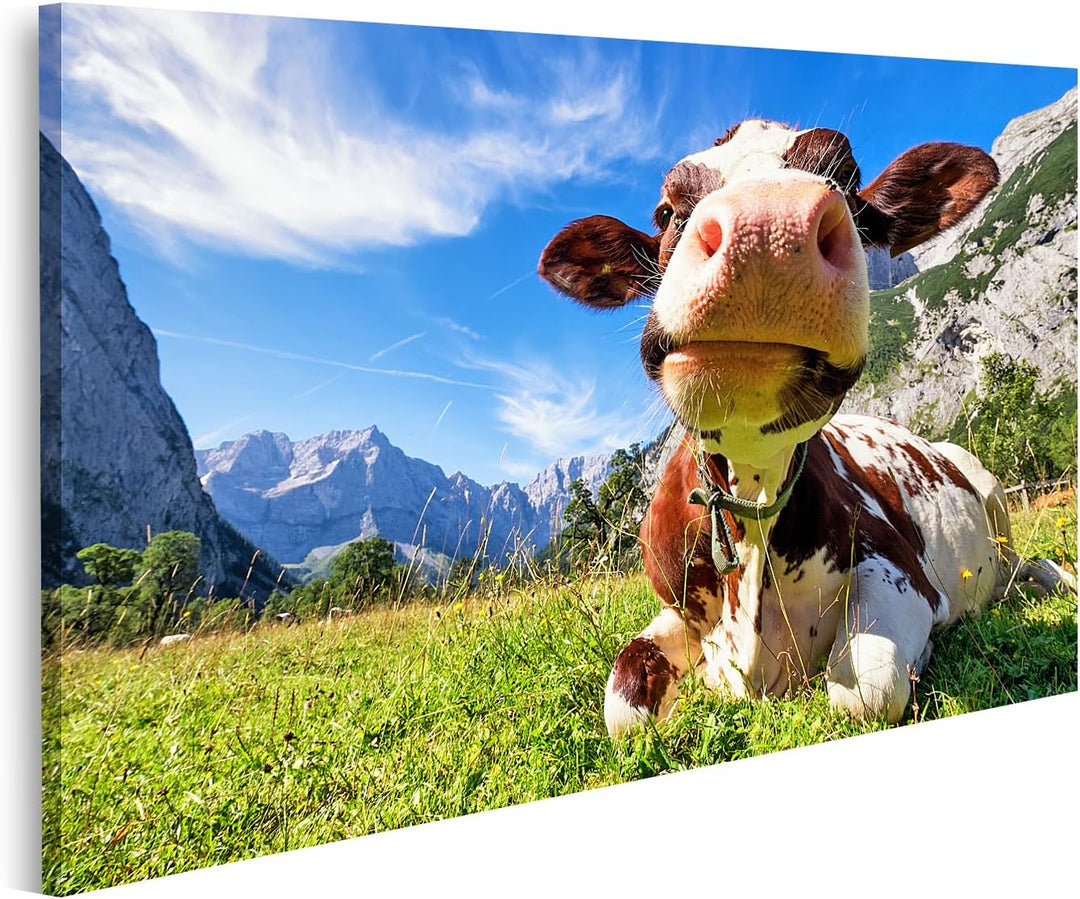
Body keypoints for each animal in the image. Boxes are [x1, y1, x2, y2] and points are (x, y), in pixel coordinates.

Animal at [538, 118, 1069, 737]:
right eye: (666, 211)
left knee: (1023, 566)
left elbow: (865, 690)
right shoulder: (674, 611)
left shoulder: (904, 572)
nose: (768, 227)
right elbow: (623, 705)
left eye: (847, 179)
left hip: (989, 489)